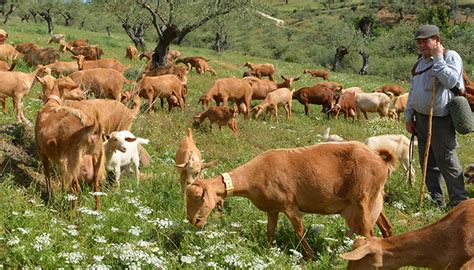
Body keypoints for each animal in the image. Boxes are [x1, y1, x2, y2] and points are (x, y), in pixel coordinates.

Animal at [185, 141, 396, 258]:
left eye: (199, 197)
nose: (193, 220)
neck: (254, 175)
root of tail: (381, 160)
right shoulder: (273, 208)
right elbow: (270, 231)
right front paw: (269, 250)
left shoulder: (289, 205)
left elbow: (299, 230)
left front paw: (310, 256)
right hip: (372, 200)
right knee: (385, 227)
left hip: (363, 199)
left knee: (368, 233)